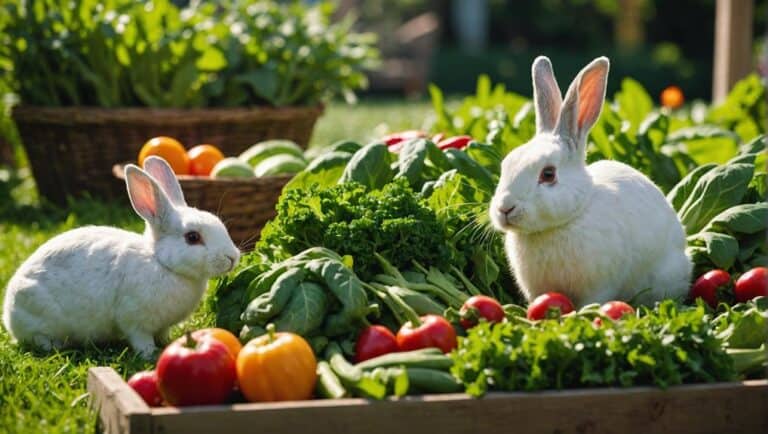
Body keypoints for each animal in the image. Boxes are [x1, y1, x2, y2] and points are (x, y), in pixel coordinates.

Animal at [2, 156, 240, 358]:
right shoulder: (134, 320)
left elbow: (163, 334)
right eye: (192, 237)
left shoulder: (162, 325)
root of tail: (8, 314)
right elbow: (140, 339)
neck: (161, 263)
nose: (232, 258)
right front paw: (149, 354)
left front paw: (168, 343)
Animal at [489, 56, 692, 307]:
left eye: (548, 174)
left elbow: (592, 302)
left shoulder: (600, 286)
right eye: (506, 164)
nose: (505, 208)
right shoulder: (537, 289)